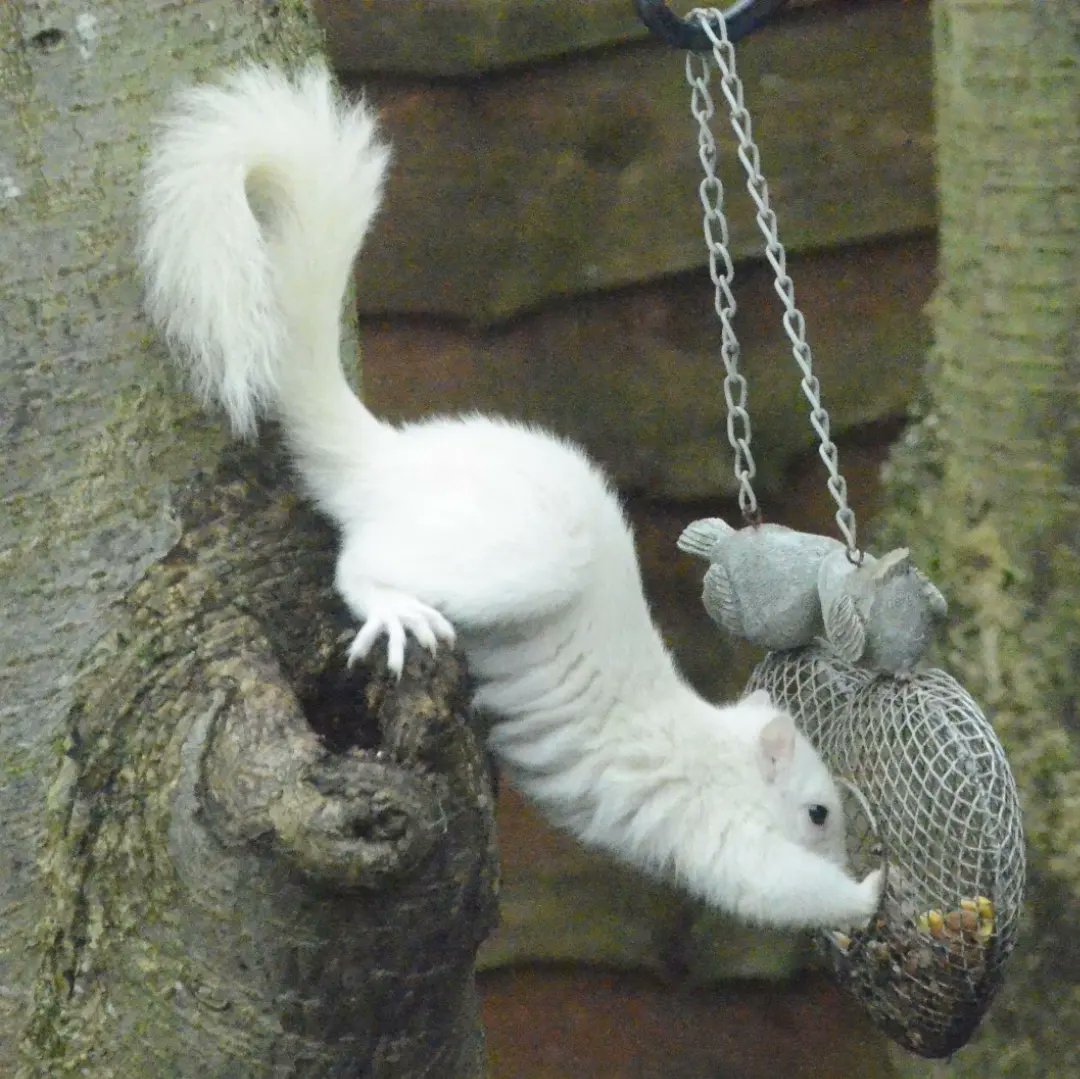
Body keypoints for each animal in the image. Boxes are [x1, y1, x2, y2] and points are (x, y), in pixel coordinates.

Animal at [139, 62, 882, 930]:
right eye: (819, 813)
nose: (850, 852)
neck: (716, 752)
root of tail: (391, 462)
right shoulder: (708, 825)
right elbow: (775, 886)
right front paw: (867, 895)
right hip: (518, 558)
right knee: (363, 564)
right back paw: (394, 608)